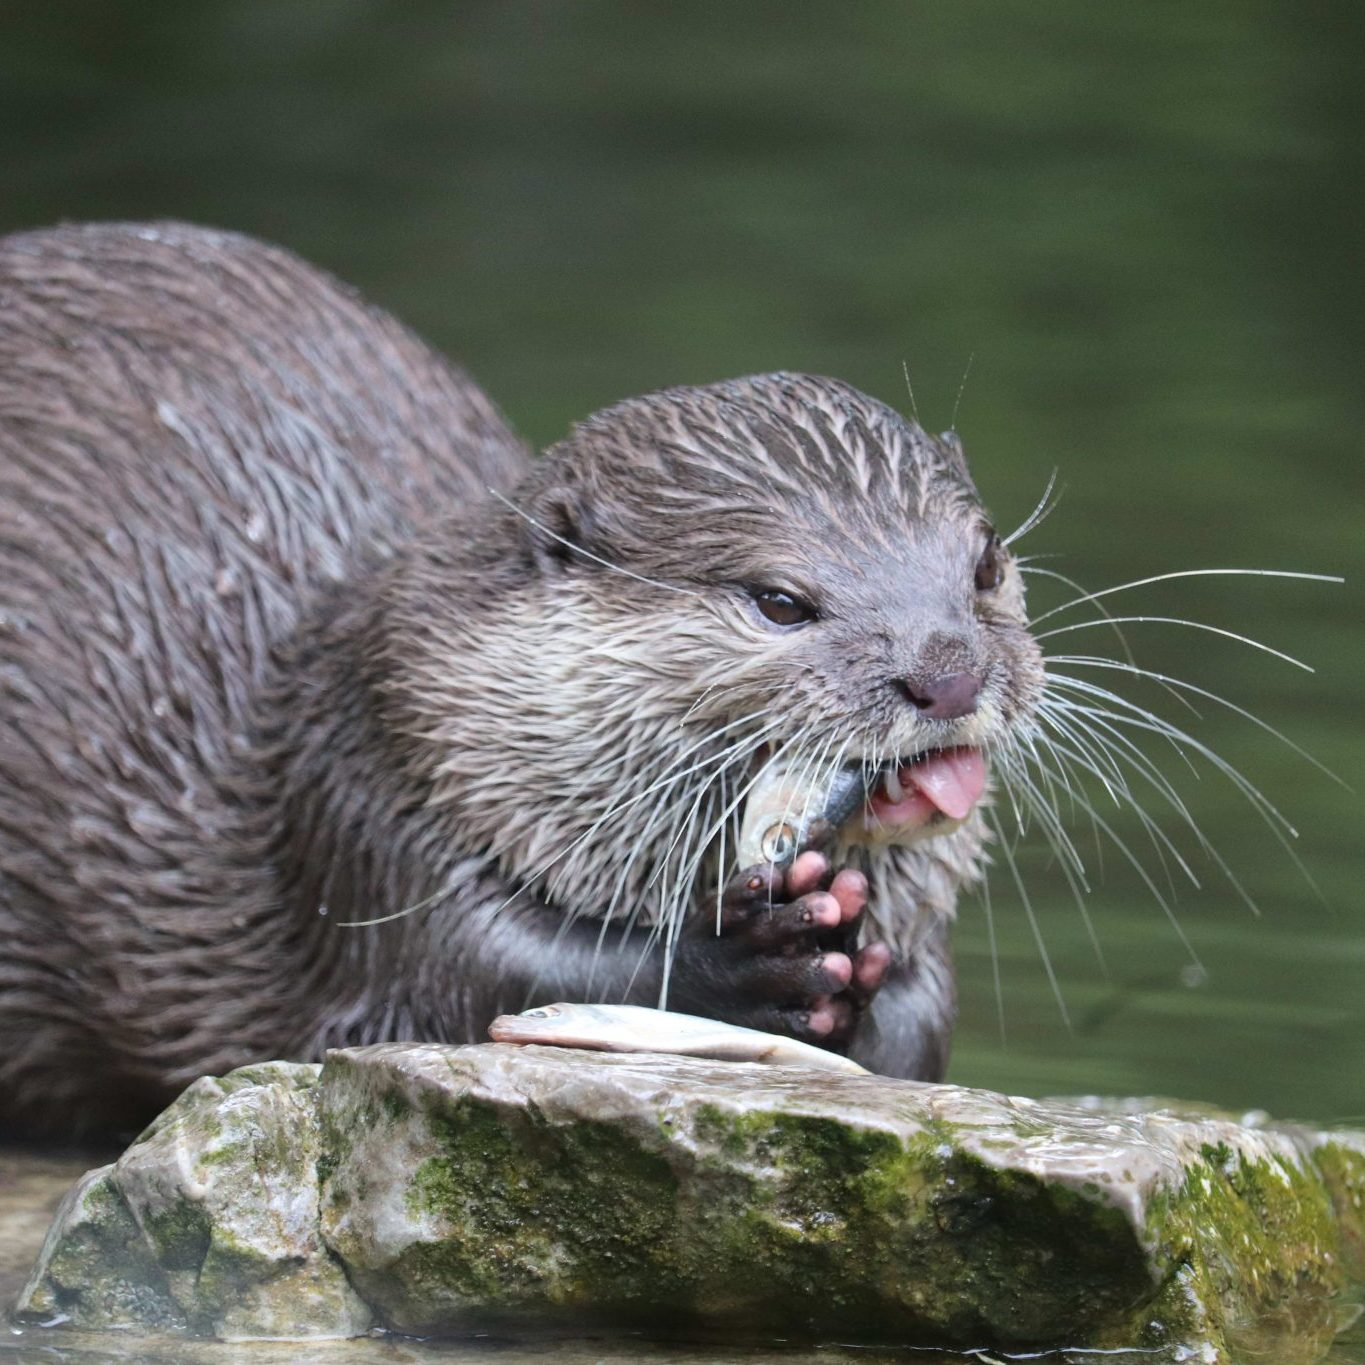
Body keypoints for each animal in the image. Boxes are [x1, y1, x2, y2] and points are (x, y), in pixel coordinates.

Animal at [0, 226, 1037, 1141]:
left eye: (983, 562)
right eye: (780, 601)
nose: (946, 673)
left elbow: (924, 1025)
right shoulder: (370, 802)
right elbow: (477, 980)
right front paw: (750, 959)